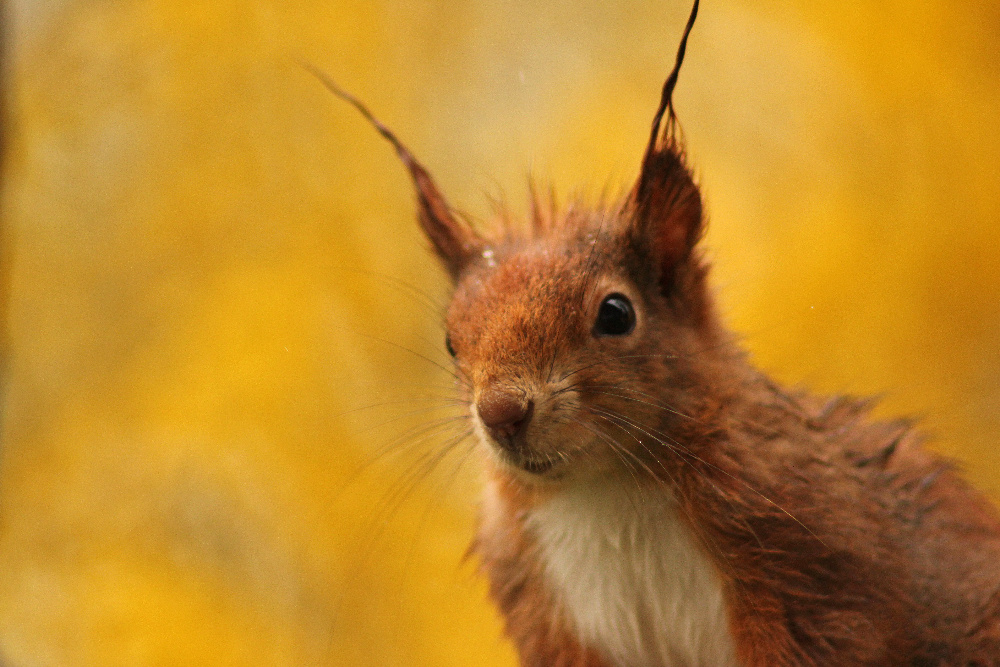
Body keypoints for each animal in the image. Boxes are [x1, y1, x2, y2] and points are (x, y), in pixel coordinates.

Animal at [316, 2, 1000, 664]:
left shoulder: (821, 568)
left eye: (617, 314)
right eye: (451, 342)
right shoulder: (548, 616)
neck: (604, 492)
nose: (502, 412)